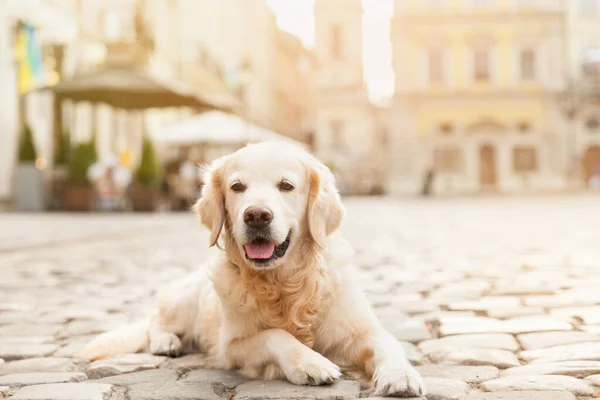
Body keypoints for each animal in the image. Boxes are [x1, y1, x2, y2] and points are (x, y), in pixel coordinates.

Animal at [81, 141, 426, 396]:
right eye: (237, 186)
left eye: (286, 185)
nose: (257, 215)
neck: (284, 284)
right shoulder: (232, 346)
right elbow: (276, 335)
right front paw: (311, 363)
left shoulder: (361, 329)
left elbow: (388, 343)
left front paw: (401, 375)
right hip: (186, 300)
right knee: (155, 321)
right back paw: (167, 343)